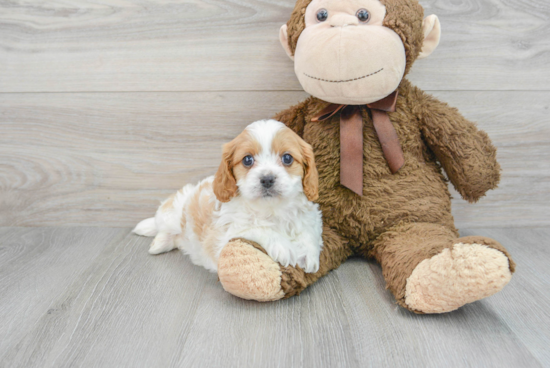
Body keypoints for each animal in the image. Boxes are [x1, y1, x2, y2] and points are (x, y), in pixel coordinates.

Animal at [134, 120, 324, 274]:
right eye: (247, 160)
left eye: (287, 158)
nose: (267, 179)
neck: (272, 209)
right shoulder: (226, 237)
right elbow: (257, 227)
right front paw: (283, 246)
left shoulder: (311, 216)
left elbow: (310, 230)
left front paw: (309, 254)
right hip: (173, 212)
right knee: (162, 225)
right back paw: (157, 242)